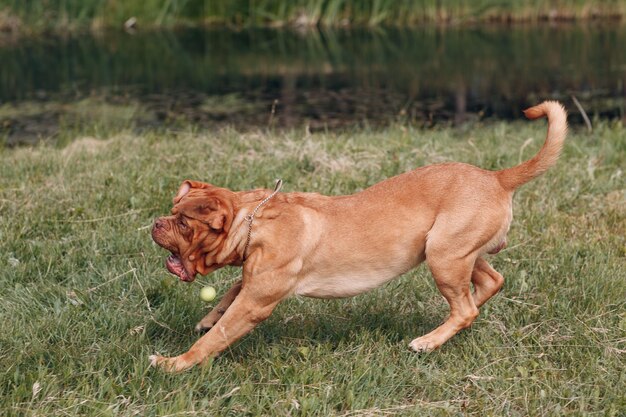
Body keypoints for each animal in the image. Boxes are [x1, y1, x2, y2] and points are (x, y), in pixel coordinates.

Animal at [149, 100, 564, 370]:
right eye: (173, 211)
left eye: (184, 223)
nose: (156, 223)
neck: (254, 220)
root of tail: (498, 177)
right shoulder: (253, 280)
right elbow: (230, 294)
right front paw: (208, 317)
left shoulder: (256, 301)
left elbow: (215, 338)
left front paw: (174, 363)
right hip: (455, 252)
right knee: (490, 283)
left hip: (444, 256)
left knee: (465, 309)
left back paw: (428, 341)